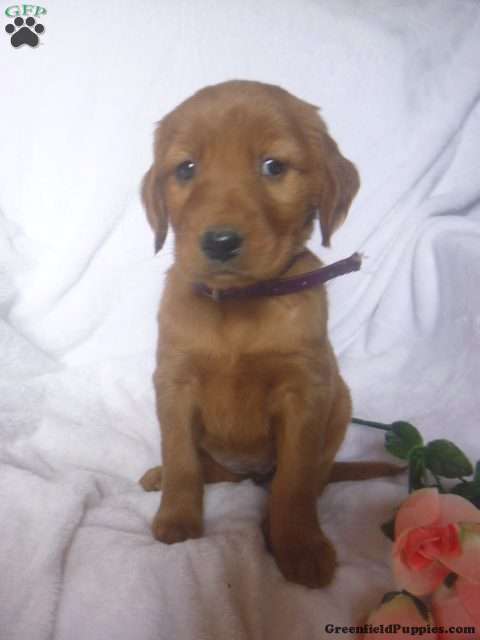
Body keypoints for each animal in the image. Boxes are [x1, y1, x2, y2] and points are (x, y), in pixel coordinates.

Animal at [140, 80, 396, 588]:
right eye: (186, 168)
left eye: (273, 166)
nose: (220, 241)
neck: (239, 304)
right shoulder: (174, 382)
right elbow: (181, 458)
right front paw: (177, 516)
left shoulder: (305, 391)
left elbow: (294, 482)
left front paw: (299, 545)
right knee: (215, 470)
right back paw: (164, 477)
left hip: (341, 403)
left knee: (308, 480)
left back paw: (269, 525)